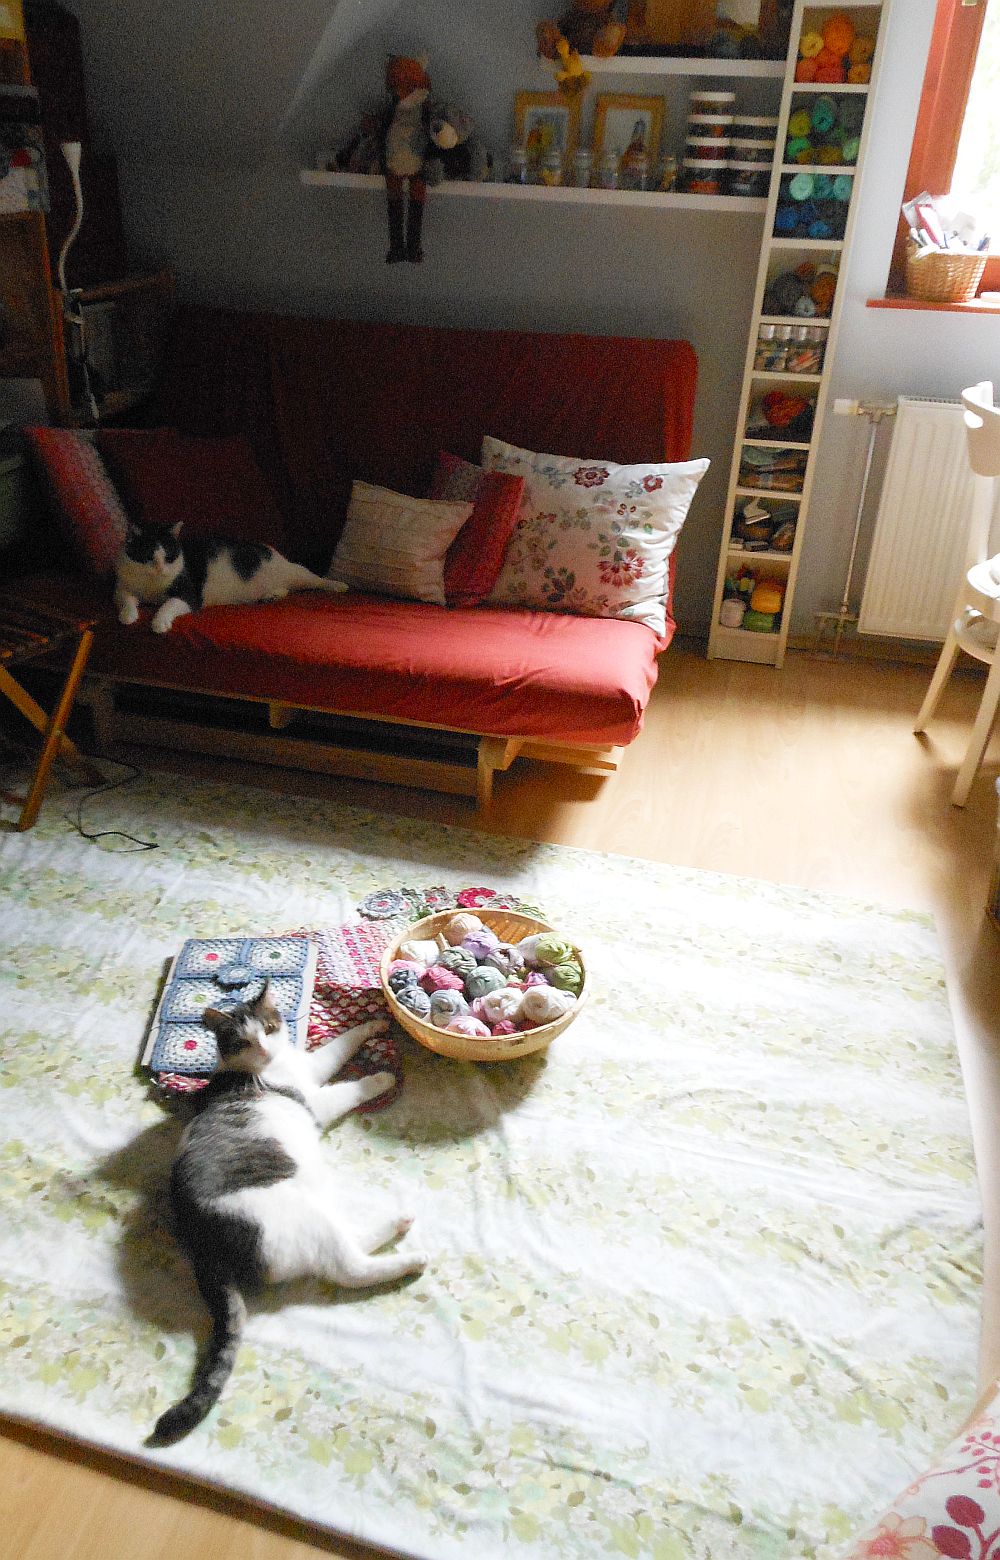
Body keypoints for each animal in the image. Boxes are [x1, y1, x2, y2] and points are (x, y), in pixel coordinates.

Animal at [115, 521, 347, 634]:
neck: (151, 585)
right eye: (148, 556)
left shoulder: (189, 595)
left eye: (169, 557)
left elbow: (167, 605)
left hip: (295, 573)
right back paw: (271, 595)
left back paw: (338, 585)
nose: (160, 568)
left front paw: (159, 622)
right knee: (285, 589)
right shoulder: (121, 588)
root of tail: (269, 549)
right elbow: (127, 599)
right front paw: (128, 615)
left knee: (317, 580)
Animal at [147, 982, 424, 1447]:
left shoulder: (311, 1064)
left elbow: (339, 1044)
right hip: (301, 1213)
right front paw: (381, 1077)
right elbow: (349, 1088)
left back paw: (399, 1224)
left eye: (270, 1028)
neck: (272, 1066)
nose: (263, 1048)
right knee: (348, 1267)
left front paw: (373, 1022)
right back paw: (411, 1256)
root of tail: (203, 1247)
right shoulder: (315, 1100)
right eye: (242, 1041)